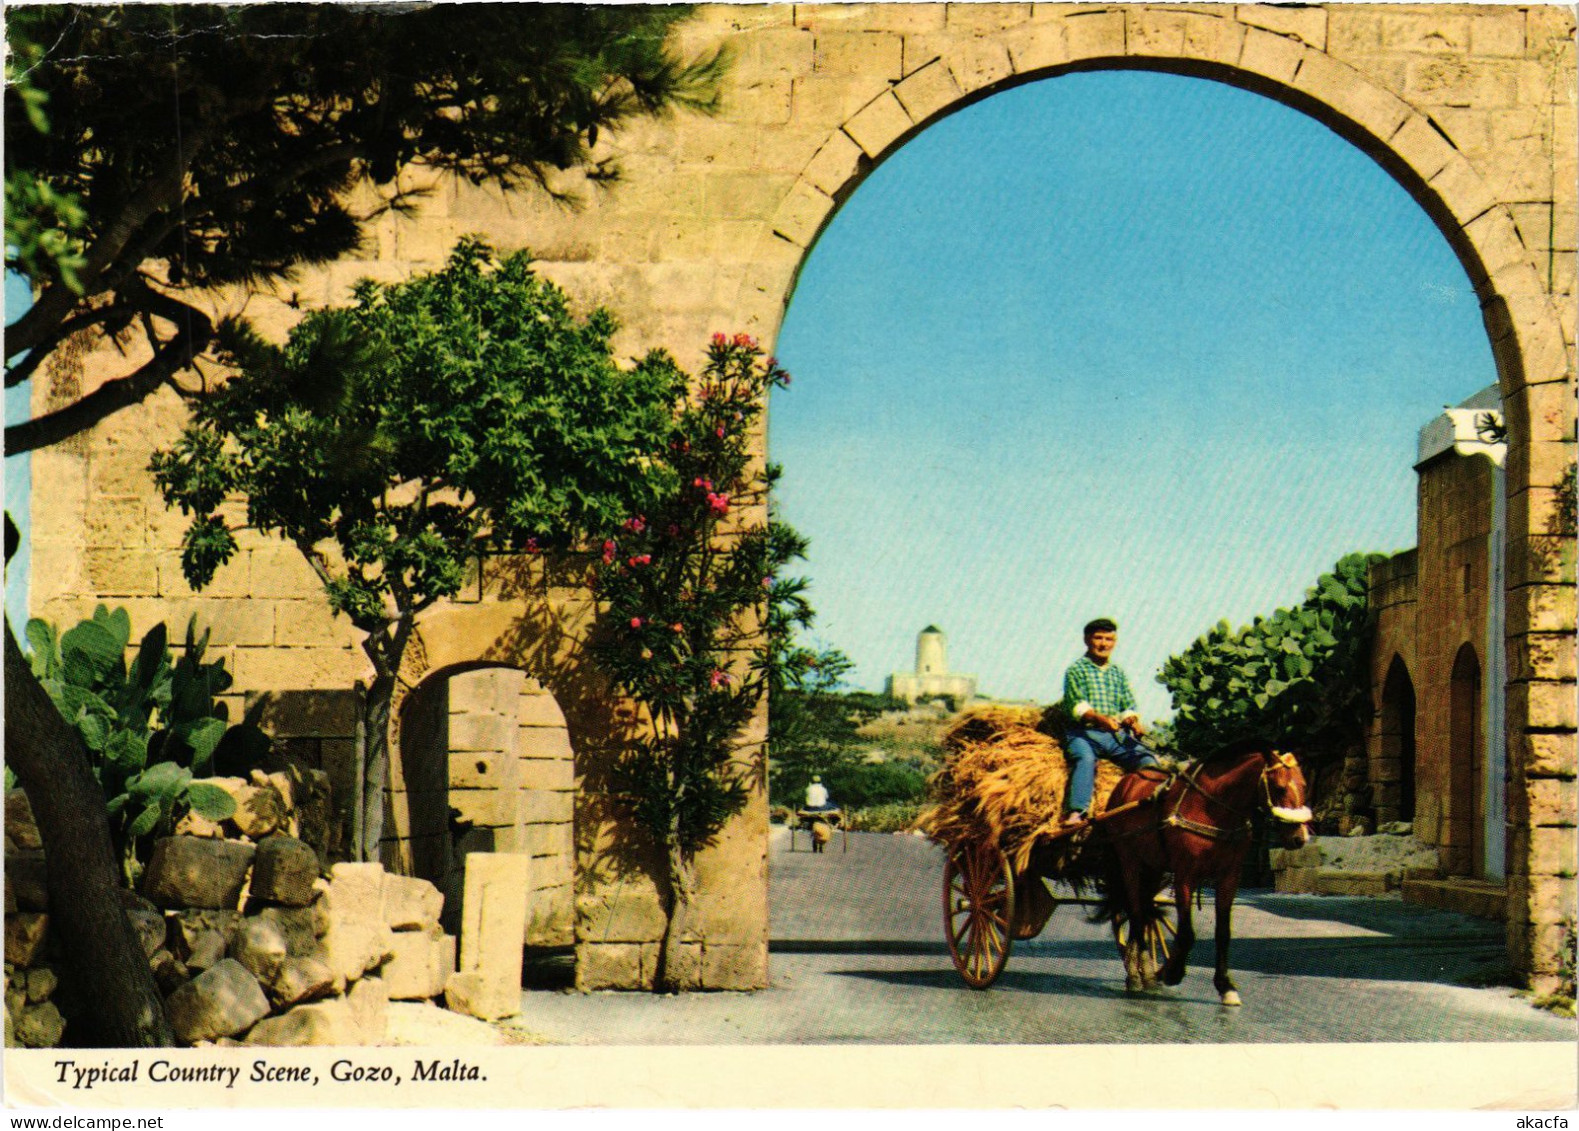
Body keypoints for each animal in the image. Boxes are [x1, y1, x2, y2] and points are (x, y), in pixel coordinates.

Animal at [1092, 742, 1313, 1004]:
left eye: (1304, 785)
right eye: (1279, 787)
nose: (1299, 838)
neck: (1212, 809)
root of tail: (1125, 783)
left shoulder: (1229, 877)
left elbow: (1223, 933)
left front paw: (1225, 985)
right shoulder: (1185, 876)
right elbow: (1187, 933)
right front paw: (1172, 972)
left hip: (1152, 867)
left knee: (1145, 913)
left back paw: (1142, 973)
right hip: (1129, 863)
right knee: (1135, 913)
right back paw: (1138, 976)